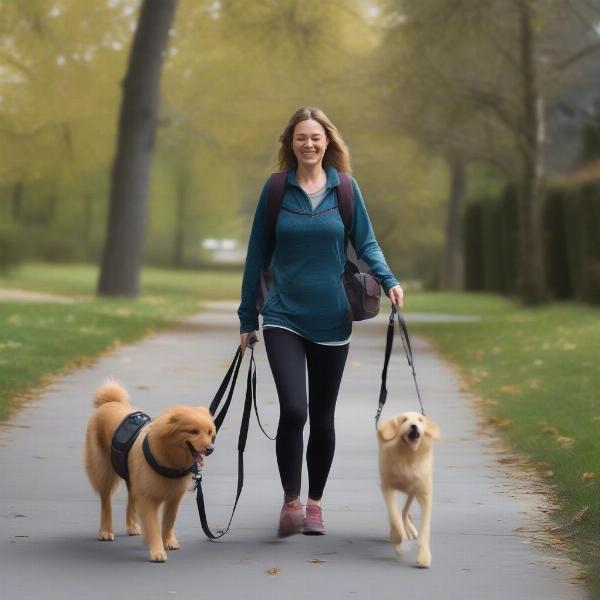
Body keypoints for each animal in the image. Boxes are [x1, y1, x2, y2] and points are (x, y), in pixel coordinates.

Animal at [83, 380, 216, 564]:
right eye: (193, 431)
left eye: (209, 432)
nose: (210, 449)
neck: (167, 457)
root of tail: (109, 402)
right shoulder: (148, 497)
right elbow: (153, 526)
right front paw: (157, 551)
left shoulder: (173, 497)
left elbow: (168, 522)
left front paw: (169, 541)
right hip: (104, 472)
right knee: (106, 502)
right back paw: (106, 531)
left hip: (132, 479)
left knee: (131, 499)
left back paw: (132, 526)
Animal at [378, 410, 438, 568]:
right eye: (403, 420)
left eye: (420, 420)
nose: (414, 426)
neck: (408, 456)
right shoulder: (387, 487)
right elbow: (395, 516)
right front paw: (398, 540)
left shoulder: (423, 491)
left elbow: (425, 527)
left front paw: (424, 556)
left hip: (413, 491)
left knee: (405, 510)